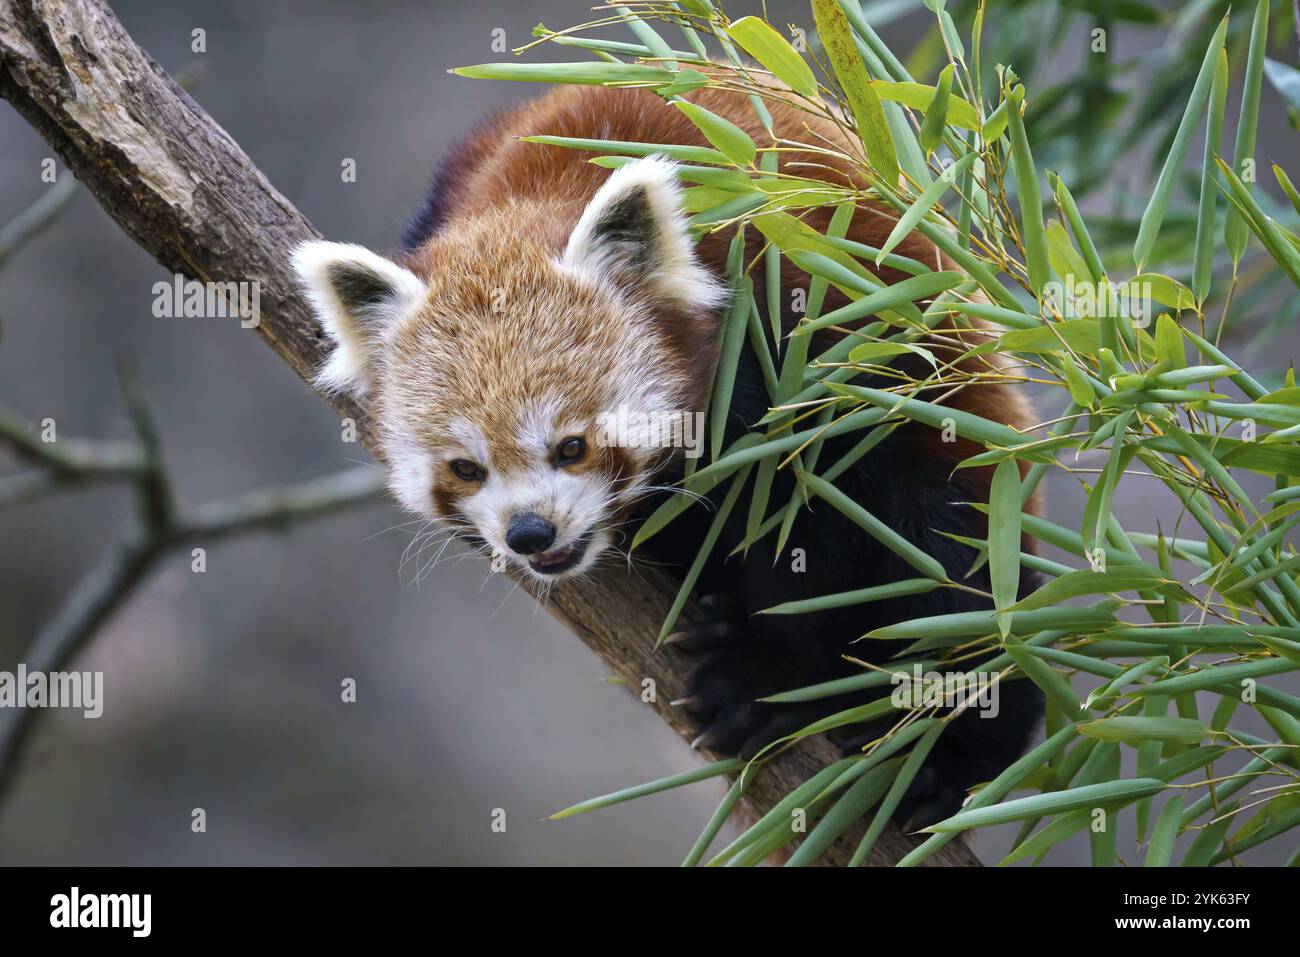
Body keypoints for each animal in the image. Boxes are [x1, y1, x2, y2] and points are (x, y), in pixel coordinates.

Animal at [295, 83, 1045, 832]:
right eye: (466, 468)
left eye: (572, 445)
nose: (531, 532)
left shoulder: (796, 321)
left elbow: (824, 521)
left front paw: (768, 671)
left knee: (955, 567)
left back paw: (944, 755)